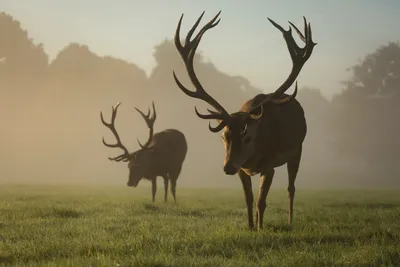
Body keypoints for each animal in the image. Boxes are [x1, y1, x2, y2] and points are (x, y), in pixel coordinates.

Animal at [173, 11, 318, 231]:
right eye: (224, 137)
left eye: (247, 136)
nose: (227, 167)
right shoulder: (242, 169)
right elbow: (248, 199)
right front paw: (250, 226)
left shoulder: (269, 165)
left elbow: (261, 201)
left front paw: (260, 228)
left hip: (298, 150)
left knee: (291, 188)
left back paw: (290, 221)